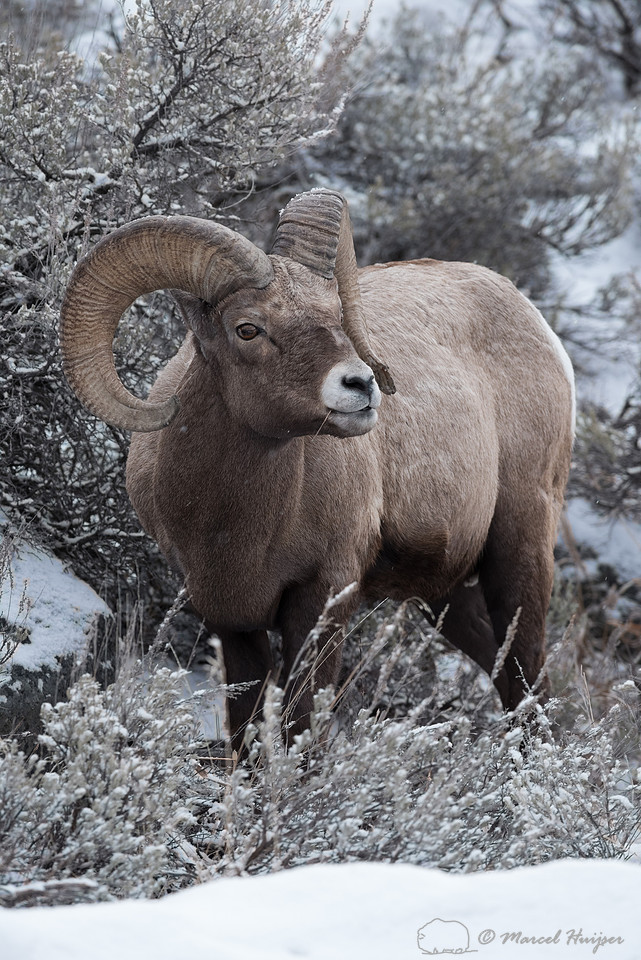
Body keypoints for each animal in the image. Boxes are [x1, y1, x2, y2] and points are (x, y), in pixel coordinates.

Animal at [60, 188, 574, 742]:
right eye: (247, 328)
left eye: (335, 312)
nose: (361, 384)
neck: (231, 525)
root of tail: (536, 323)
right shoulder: (229, 619)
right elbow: (247, 733)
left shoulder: (323, 600)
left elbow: (303, 727)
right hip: (446, 592)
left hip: (520, 544)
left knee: (526, 672)